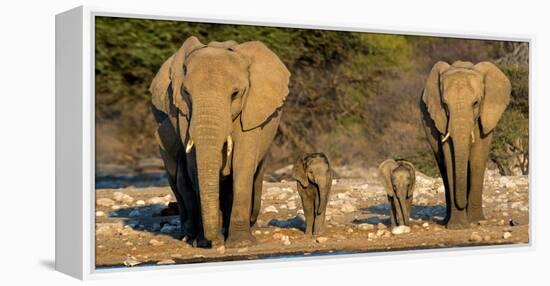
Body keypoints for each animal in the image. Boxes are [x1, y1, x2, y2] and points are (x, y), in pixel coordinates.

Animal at [149, 36, 292, 248]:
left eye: (235, 94)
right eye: (186, 93)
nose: (213, 240)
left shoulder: (251, 110)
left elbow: (243, 163)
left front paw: (241, 244)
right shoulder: (182, 113)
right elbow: (194, 167)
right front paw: (205, 242)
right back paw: (189, 235)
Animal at [422, 61, 512, 229]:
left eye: (476, 103)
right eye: (445, 104)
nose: (462, 204)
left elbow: (477, 158)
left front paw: (476, 221)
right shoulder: (442, 120)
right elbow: (450, 158)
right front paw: (457, 226)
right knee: (443, 167)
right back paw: (446, 221)